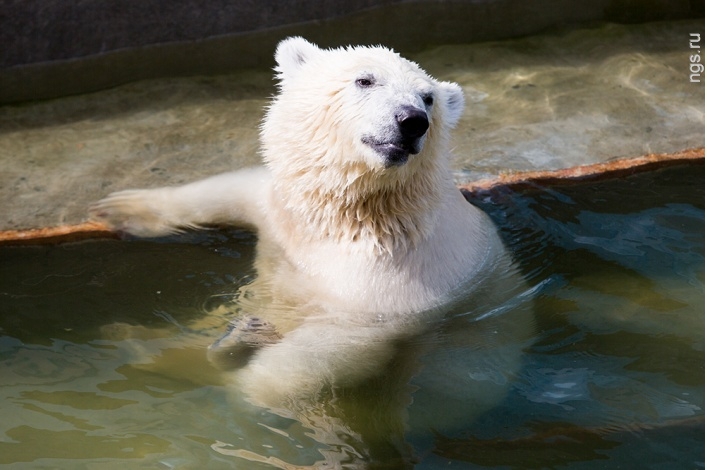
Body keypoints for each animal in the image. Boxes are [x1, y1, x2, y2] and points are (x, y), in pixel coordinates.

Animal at [90, 38, 532, 468]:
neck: (354, 216)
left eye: (428, 99)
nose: (411, 121)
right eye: (365, 80)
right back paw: (134, 337)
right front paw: (120, 208)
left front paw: (246, 368)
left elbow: (332, 344)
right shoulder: (283, 212)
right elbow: (233, 190)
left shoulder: (399, 272)